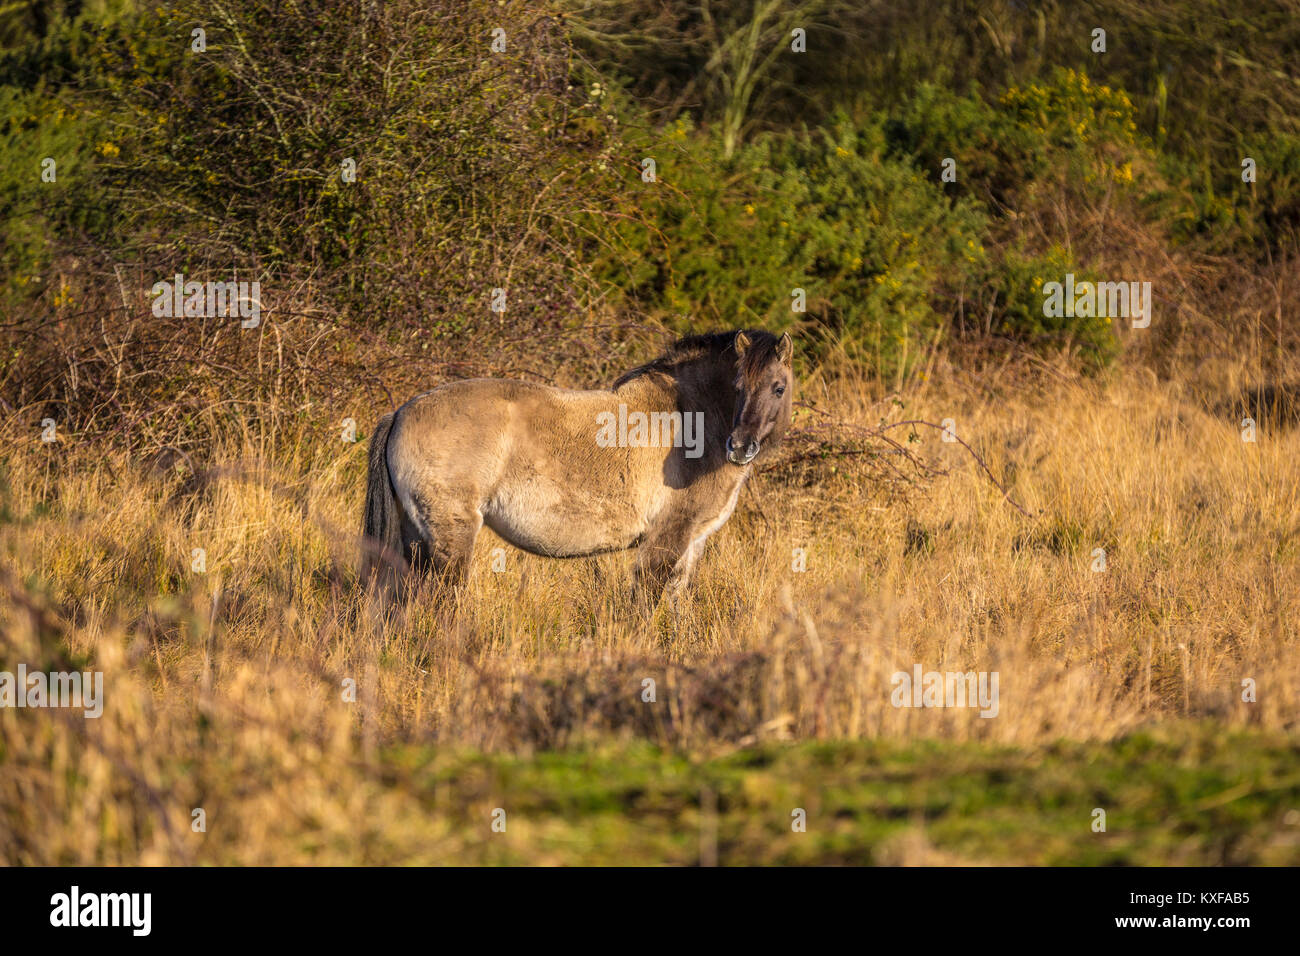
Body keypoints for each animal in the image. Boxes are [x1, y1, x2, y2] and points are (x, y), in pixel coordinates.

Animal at [361, 329, 795, 608]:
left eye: (778, 387)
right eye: (737, 387)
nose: (740, 447)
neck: (691, 417)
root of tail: (400, 412)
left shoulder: (691, 544)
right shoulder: (667, 539)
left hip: (416, 538)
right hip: (451, 539)